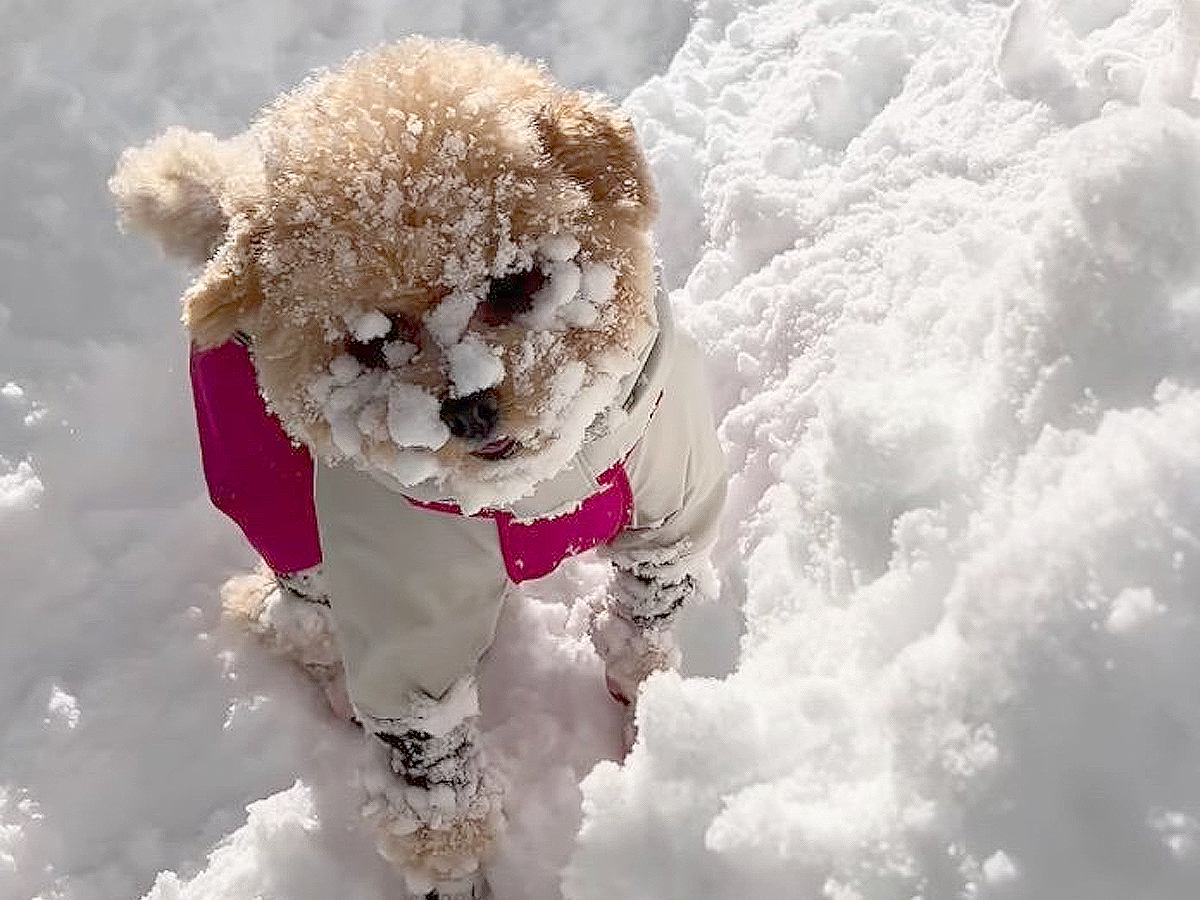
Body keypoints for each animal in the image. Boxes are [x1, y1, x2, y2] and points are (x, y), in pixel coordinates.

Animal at [112, 38, 724, 900]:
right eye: (370, 341)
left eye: (517, 281)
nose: (467, 410)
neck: (532, 495)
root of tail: (230, 208)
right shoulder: (405, 634)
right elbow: (430, 784)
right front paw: (454, 878)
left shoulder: (669, 512)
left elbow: (646, 620)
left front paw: (649, 713)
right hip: (271, 498)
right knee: (295, 613)